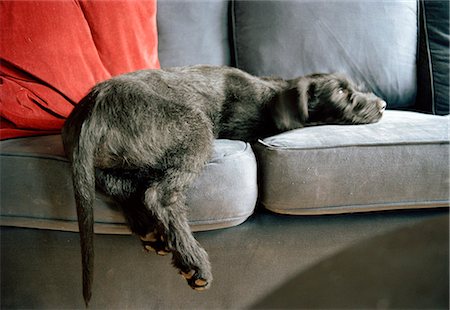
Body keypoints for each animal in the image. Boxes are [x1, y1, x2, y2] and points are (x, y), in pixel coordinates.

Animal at [60, 64, 386, 304]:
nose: (383, 105)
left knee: (120, 185)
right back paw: (193, 260)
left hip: (117, 161)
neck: (270, 95)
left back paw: (150, 231)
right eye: (341, 91)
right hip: (195, 127)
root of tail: (95, 106)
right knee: (158, 195)